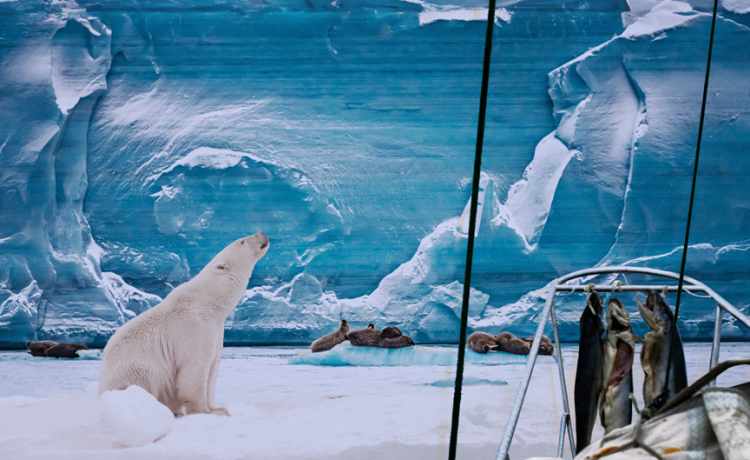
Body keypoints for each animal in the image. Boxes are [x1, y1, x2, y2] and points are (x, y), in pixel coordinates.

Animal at [98, 232, 270, 416]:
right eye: (242, 241)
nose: (262, 234)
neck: (209, 302)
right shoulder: (194, 326)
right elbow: (195, 366)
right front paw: (206, 411)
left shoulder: (216, 331)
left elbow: (212, 367)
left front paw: (218, 408)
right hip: (132, 369)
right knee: (145, 376)